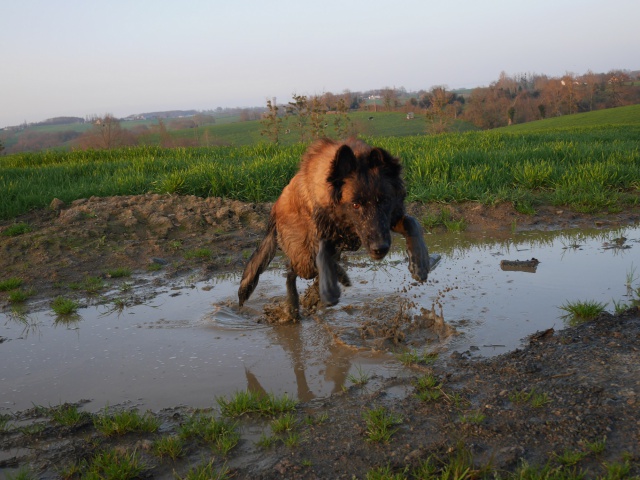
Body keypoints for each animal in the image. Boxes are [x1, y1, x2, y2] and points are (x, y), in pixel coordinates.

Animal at [238, 138, 428, 318]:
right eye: (355, 204)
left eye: (384, 201)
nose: (379, 248)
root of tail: (275, 209)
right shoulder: (324, 231)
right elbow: (322, 255)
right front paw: (328, 289)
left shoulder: (390, 219)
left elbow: (412, 222)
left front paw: (420, 263)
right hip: (304, 255)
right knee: (292, 271)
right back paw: (296, 303)